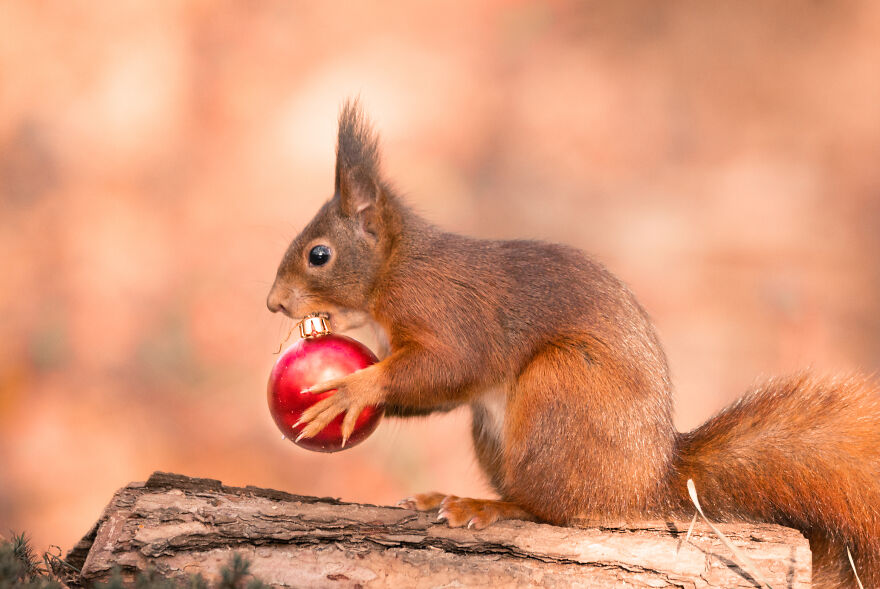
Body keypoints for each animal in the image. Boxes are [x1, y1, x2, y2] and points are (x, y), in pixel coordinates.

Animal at [267, 100, 880, 588]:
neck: (394, 268)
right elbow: (438, 392)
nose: (273, 303)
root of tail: (645, 484)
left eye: (319, 255)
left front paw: (352, 390)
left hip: (559, 389)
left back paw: (485, 505)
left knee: (547, 511)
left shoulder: (444, 310)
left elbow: (448, 366)